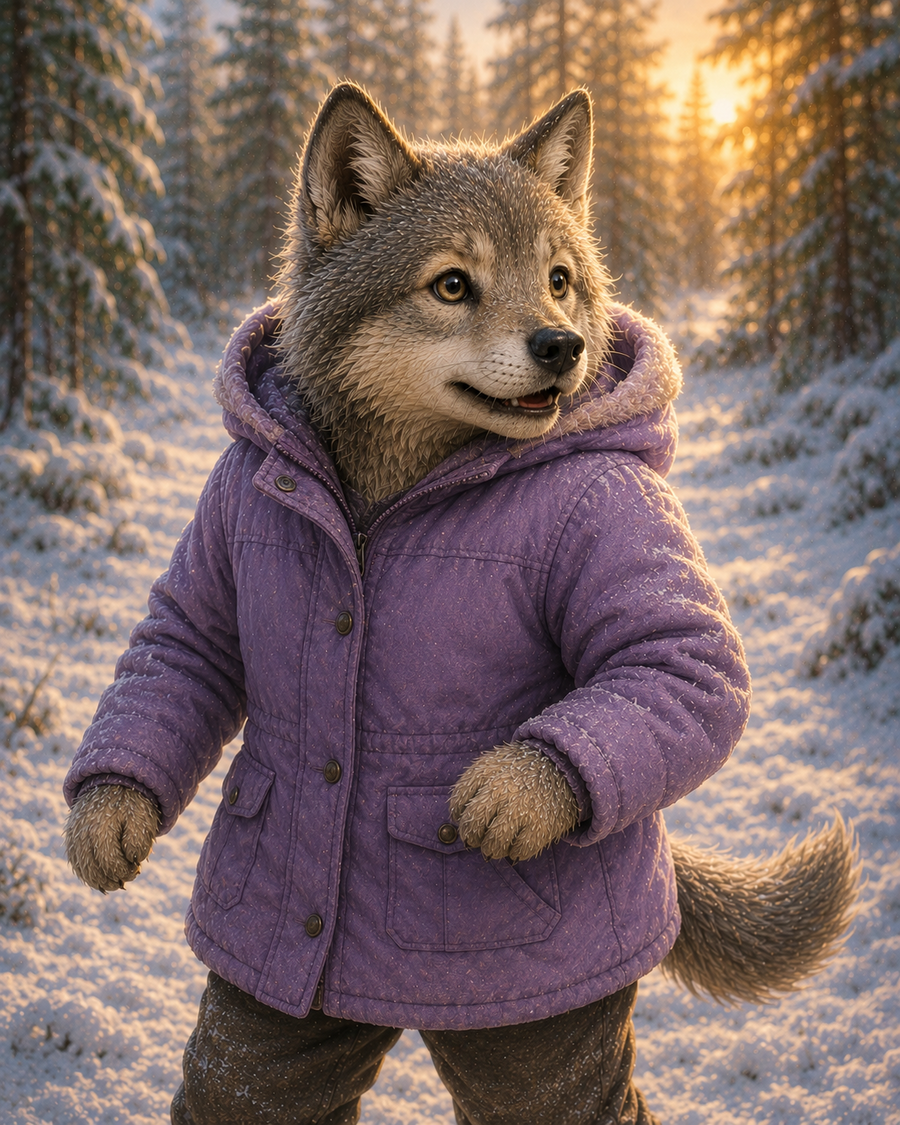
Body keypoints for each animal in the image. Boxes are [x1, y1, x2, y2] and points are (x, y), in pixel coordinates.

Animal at [65, 84, 858, 1123]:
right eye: (452, 285)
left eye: (558, 280)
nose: (562, 345)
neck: (383, 505)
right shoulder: (225, 536)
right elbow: (182, 646)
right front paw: (108, 814)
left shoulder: (618, 520)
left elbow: (681, 662)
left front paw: (519, 790)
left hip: (544, 1044)